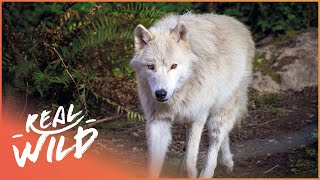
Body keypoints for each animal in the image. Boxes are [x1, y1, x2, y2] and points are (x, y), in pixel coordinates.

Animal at [130, 13, 255, 178]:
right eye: (151, 67)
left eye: (173, 66)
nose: (161, 93)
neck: (178, 94)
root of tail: (236, 23)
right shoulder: (158, 122)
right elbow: (154, 166)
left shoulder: (198, 118)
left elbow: (191, 162)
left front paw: (192, 172)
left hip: (220, 112)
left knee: (216, 141)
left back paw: (210, 171)